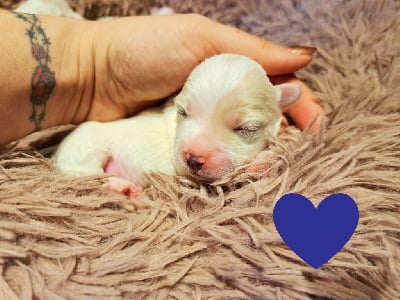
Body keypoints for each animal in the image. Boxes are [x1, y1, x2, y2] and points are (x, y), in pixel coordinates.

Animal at [53, 54, 300, 197]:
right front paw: (267, 157)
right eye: (183, 112)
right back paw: (118, 186)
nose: (194, 159)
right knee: (86, 176)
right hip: (84, 149)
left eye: (248, 128)